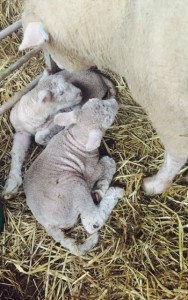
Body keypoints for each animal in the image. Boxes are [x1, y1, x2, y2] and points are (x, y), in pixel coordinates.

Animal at [2, 69, 114, 198]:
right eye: (61, 93)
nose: (80, 93)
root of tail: (99, 76)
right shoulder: (21, 132)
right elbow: (17, 154)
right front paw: (11, 184)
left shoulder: (60, 114)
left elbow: (39, 137)